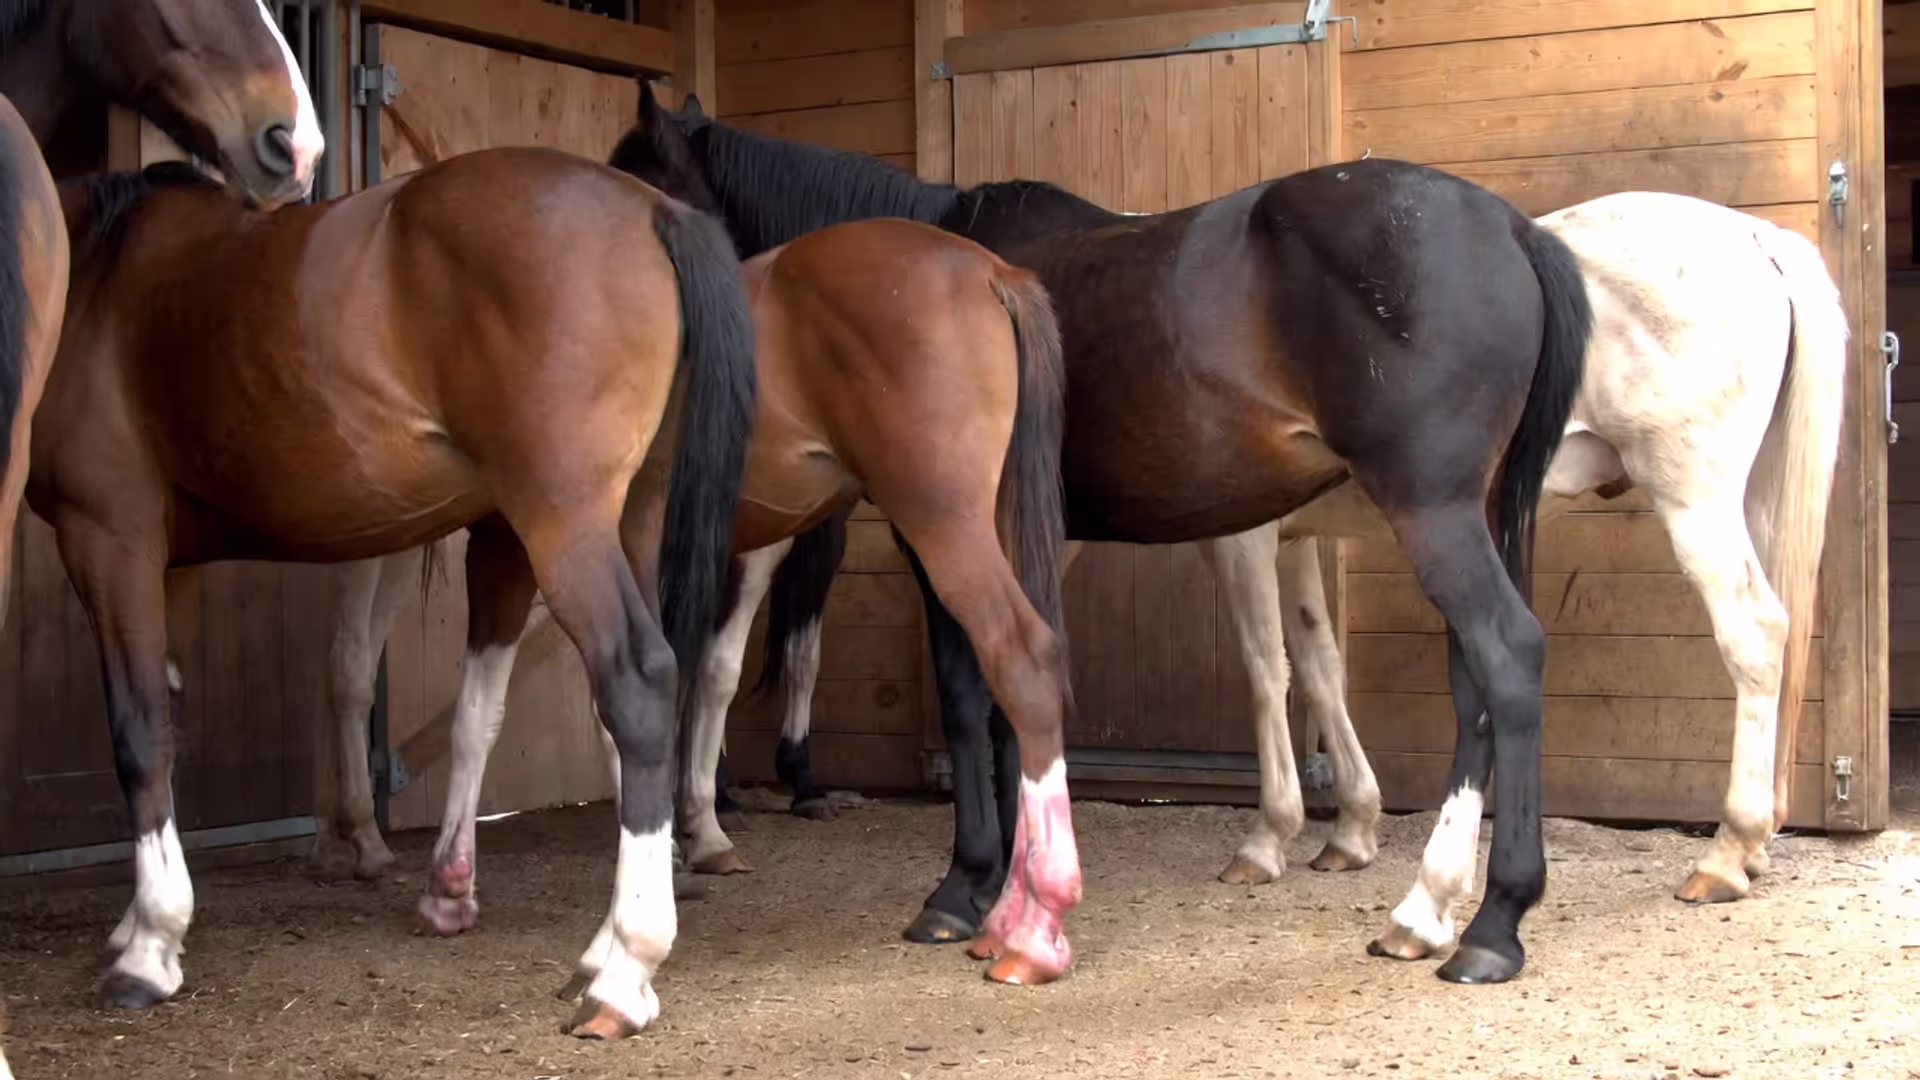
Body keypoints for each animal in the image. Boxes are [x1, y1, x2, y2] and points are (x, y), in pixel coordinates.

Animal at [41, 147, 755, 1039]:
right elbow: (168, 719)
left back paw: (625, 971)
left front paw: (147, 950)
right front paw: (143, 924)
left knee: (638, 682)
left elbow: (138, 732)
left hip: (563, 522)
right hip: (624, 517)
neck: (98, 274)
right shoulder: (173, 566)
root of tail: (654, 210)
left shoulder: (109, 540)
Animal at [307, 86, 1074, 995]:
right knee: (350, 671)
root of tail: (994, 275)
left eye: (642, 175)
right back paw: (356, 840)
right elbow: (693, 673)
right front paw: (685, 835)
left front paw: (696, 833)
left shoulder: (752, 543)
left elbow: (710, 669)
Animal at [635, 95, 1592, 987]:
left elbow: (970, 693)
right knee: (1474, 681)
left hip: (1432, 510)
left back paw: (1491, 926)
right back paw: (1426, 912)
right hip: (1473, 515)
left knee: (1506, 656)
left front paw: (965, 887)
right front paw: (1011, 885)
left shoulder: (937, 535)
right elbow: (1015, 704)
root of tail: (1511, 227)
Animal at [766, 191, 1848, 934]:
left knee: (1751, 634)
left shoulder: (1226, 538)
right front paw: (1350, 829)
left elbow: (1259, 673)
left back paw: (1725, 848)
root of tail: (1754, 237)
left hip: (1688, 494)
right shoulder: (1290, 538)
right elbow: (1320, 666)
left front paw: (1266, 837)